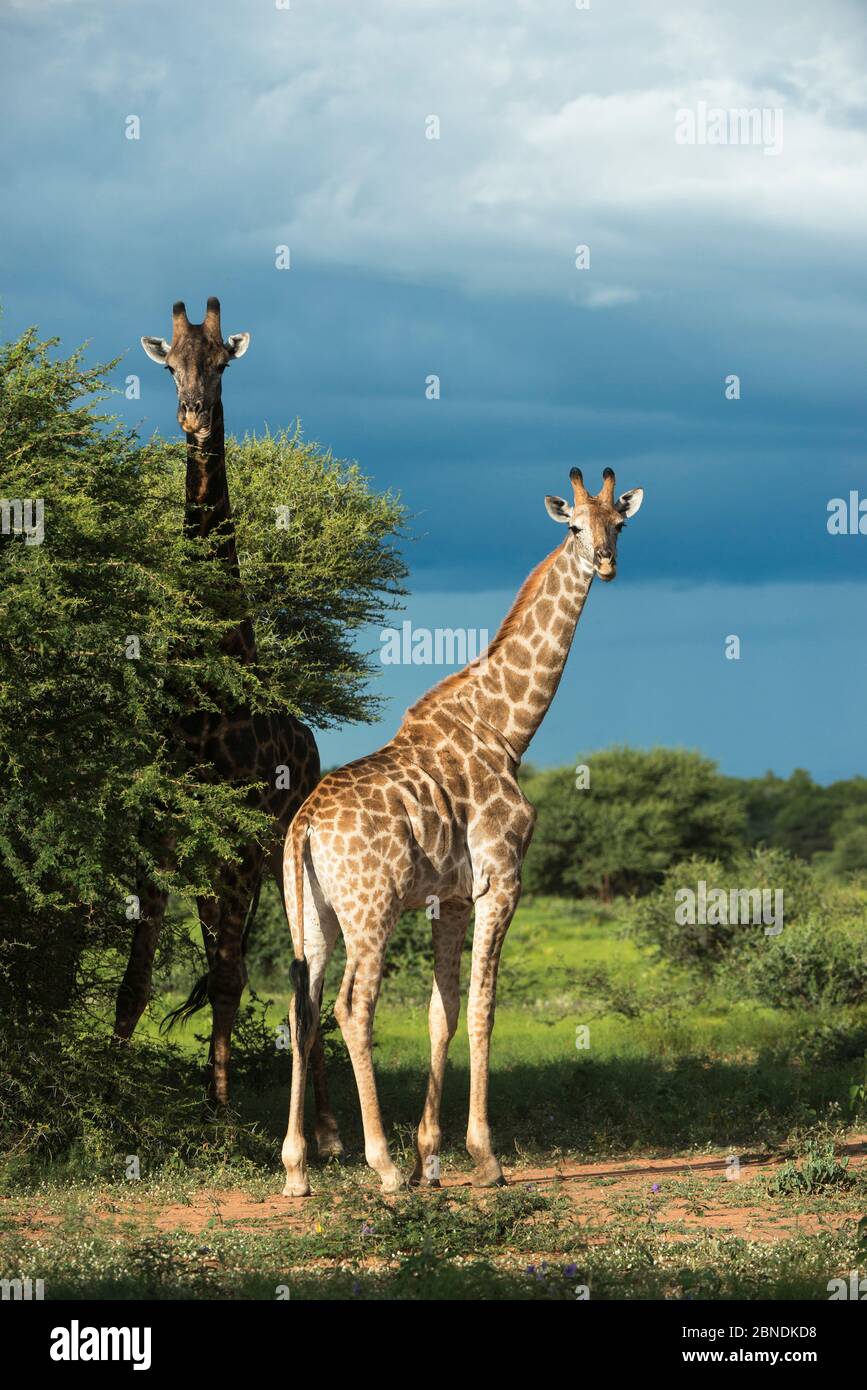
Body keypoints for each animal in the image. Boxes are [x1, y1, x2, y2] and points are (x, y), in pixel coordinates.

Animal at [114, 296, 341, 1150]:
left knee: (300, 972)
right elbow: (138, 979)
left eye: (220, 364)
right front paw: (109, 1097)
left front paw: (216, 1118)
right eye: (169, 365)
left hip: (281, 858)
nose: (193, 417)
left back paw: (326, 1129)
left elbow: (232, 977)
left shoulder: (237, 849)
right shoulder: (159, 840)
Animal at [277, 467, 644, 1195]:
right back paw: (381, 1166)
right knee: (351, 1008)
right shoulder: (501, 880)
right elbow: (482, 1007)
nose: (605, 562)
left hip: (312, 915)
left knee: (302, 1007)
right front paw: (483, 1157)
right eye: (572, 527)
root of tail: (302, 825)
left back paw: (298, 1169)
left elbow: (439, 1011)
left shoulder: (445, 897)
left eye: (618, 523)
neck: (507, 730)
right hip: (371, 908)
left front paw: (431, 1158)